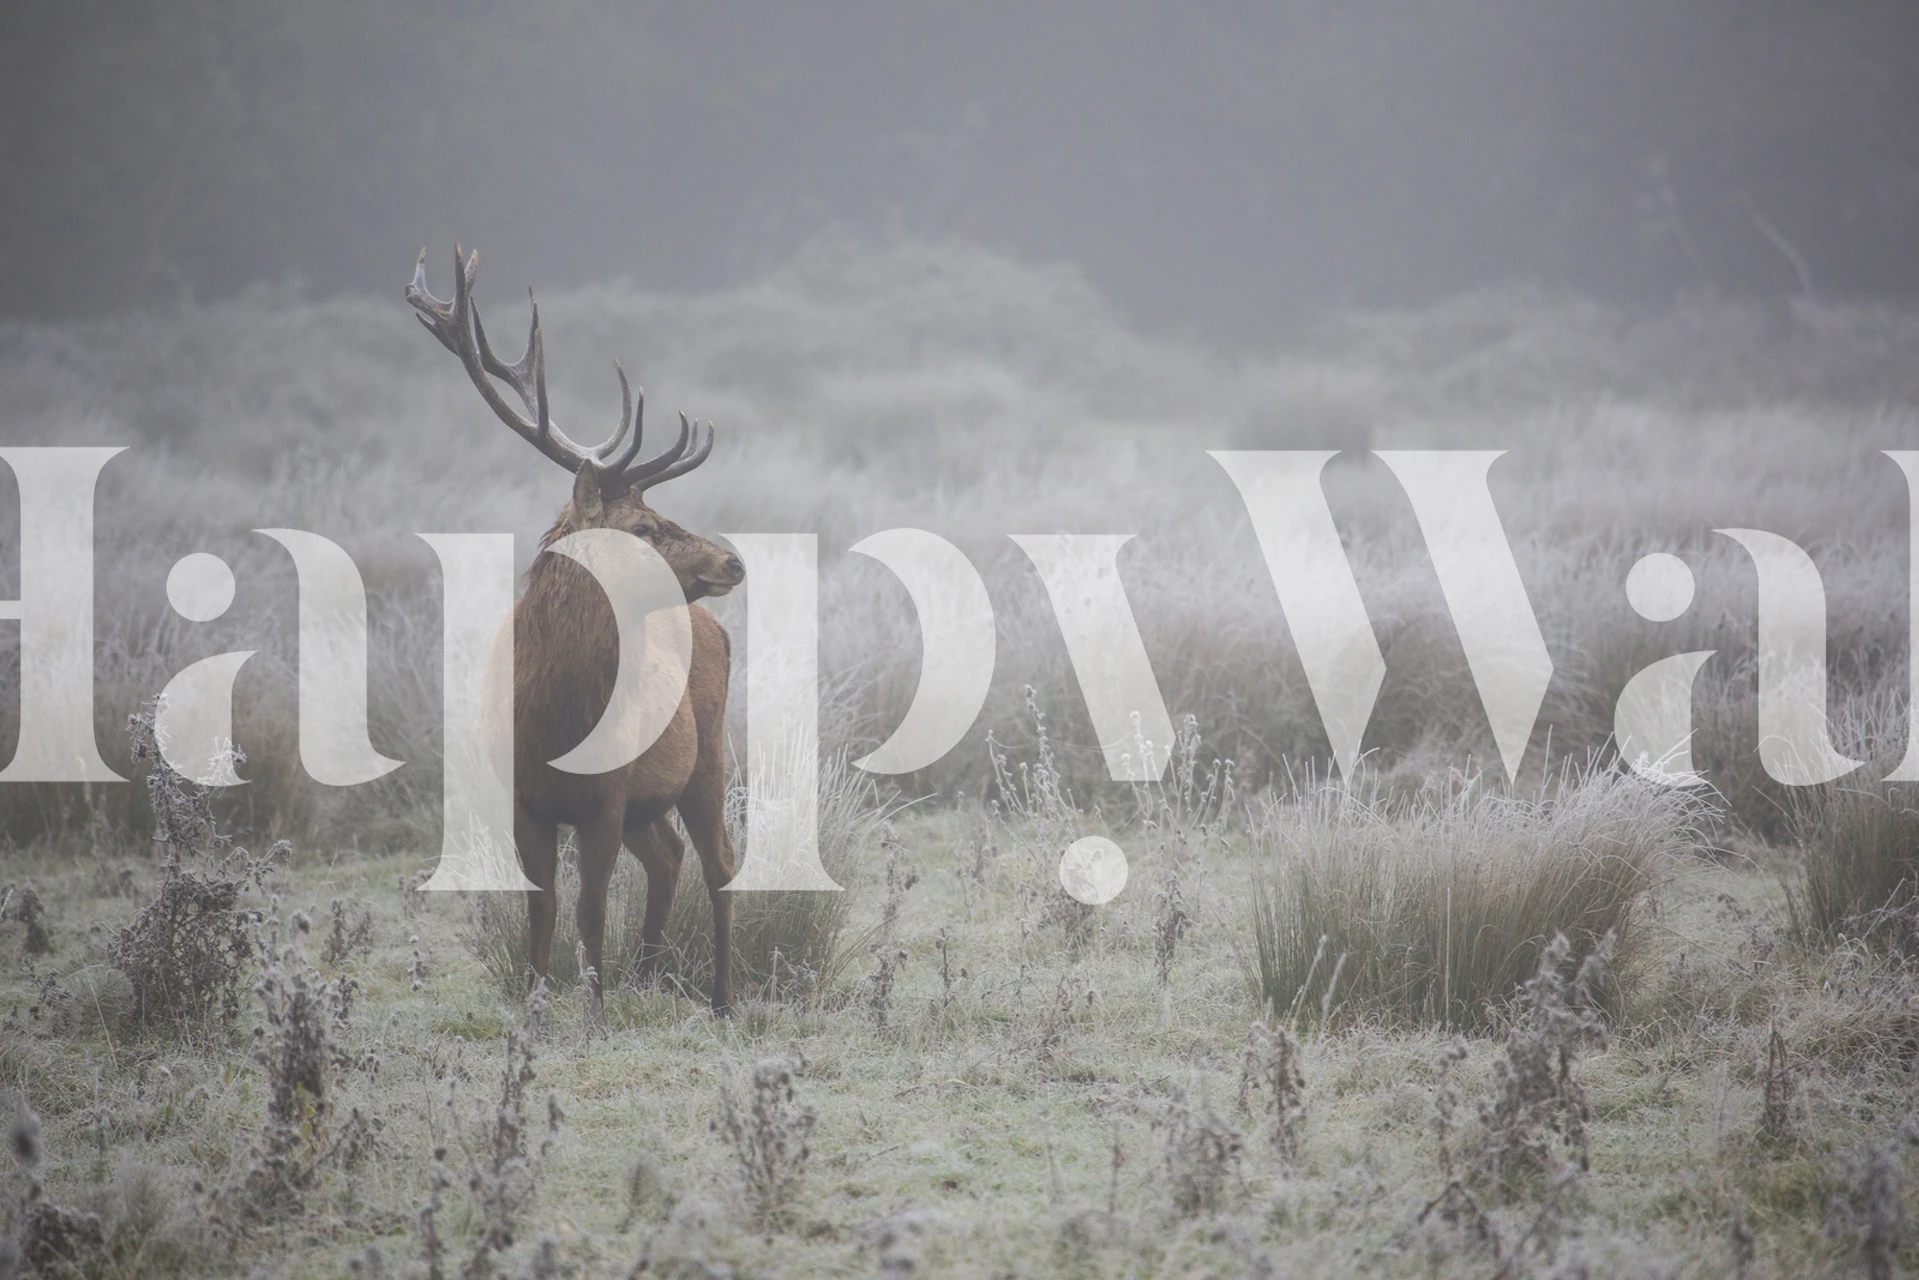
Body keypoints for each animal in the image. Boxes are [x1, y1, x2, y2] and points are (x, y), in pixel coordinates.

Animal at [406, 245, 745, 1023]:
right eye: (643, 527)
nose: (732, 561)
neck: (556, 720)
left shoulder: (607, 796)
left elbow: (590, 910)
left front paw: (592, 1012)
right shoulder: (524, 800)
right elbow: (543, 909)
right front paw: (537, 1007)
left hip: (707, 756)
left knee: (719, 864)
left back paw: (721, 999)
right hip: (653, 798)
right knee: (671, 857)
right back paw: (646, 978)